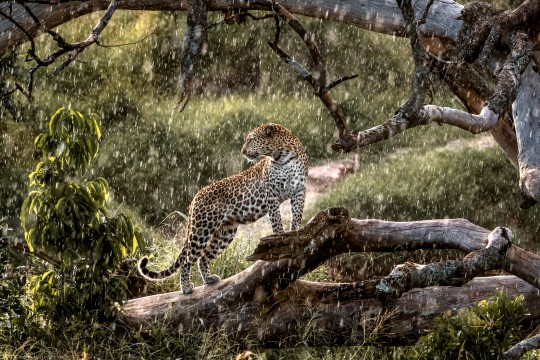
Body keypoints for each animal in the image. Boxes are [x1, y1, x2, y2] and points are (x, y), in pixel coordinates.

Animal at [138, 122, 308, 294]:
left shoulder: (299, 191)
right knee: (188, 260)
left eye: (251, 140)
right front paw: (280, 240)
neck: (283, 157)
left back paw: (209, 279)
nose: (243, 152)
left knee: (203, 257)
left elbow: (297, 215)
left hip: (225, 232)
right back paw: (186, 287)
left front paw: (294, 235)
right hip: (202, 229)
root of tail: (195, 198)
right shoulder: (271, 195)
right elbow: (277, 221)